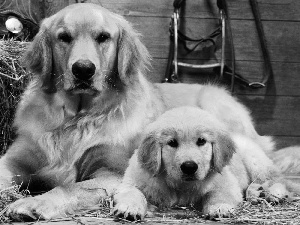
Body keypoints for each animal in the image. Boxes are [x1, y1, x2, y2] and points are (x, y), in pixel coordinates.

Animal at [113, 107, 278, 220]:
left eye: (201, 141)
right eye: (172, 142)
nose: (189, 167)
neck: (181, 186)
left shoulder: (228, 184)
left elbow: (217, 194)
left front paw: (219, 208)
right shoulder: (131, 182)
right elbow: (133, 193)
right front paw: (129, 208)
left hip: (255, 160)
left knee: (274, 179)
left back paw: (270, 193)